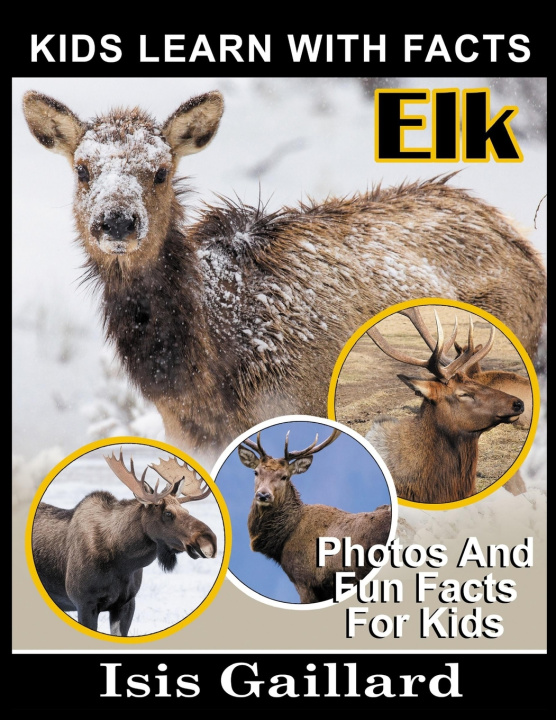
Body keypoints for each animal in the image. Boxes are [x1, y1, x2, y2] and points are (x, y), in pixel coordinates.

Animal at [31, 450, 218, 636]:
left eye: (186, 510)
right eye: (168, 513)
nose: (209, 540)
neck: (122, 563)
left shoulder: (126, 603)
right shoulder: (84, 602)